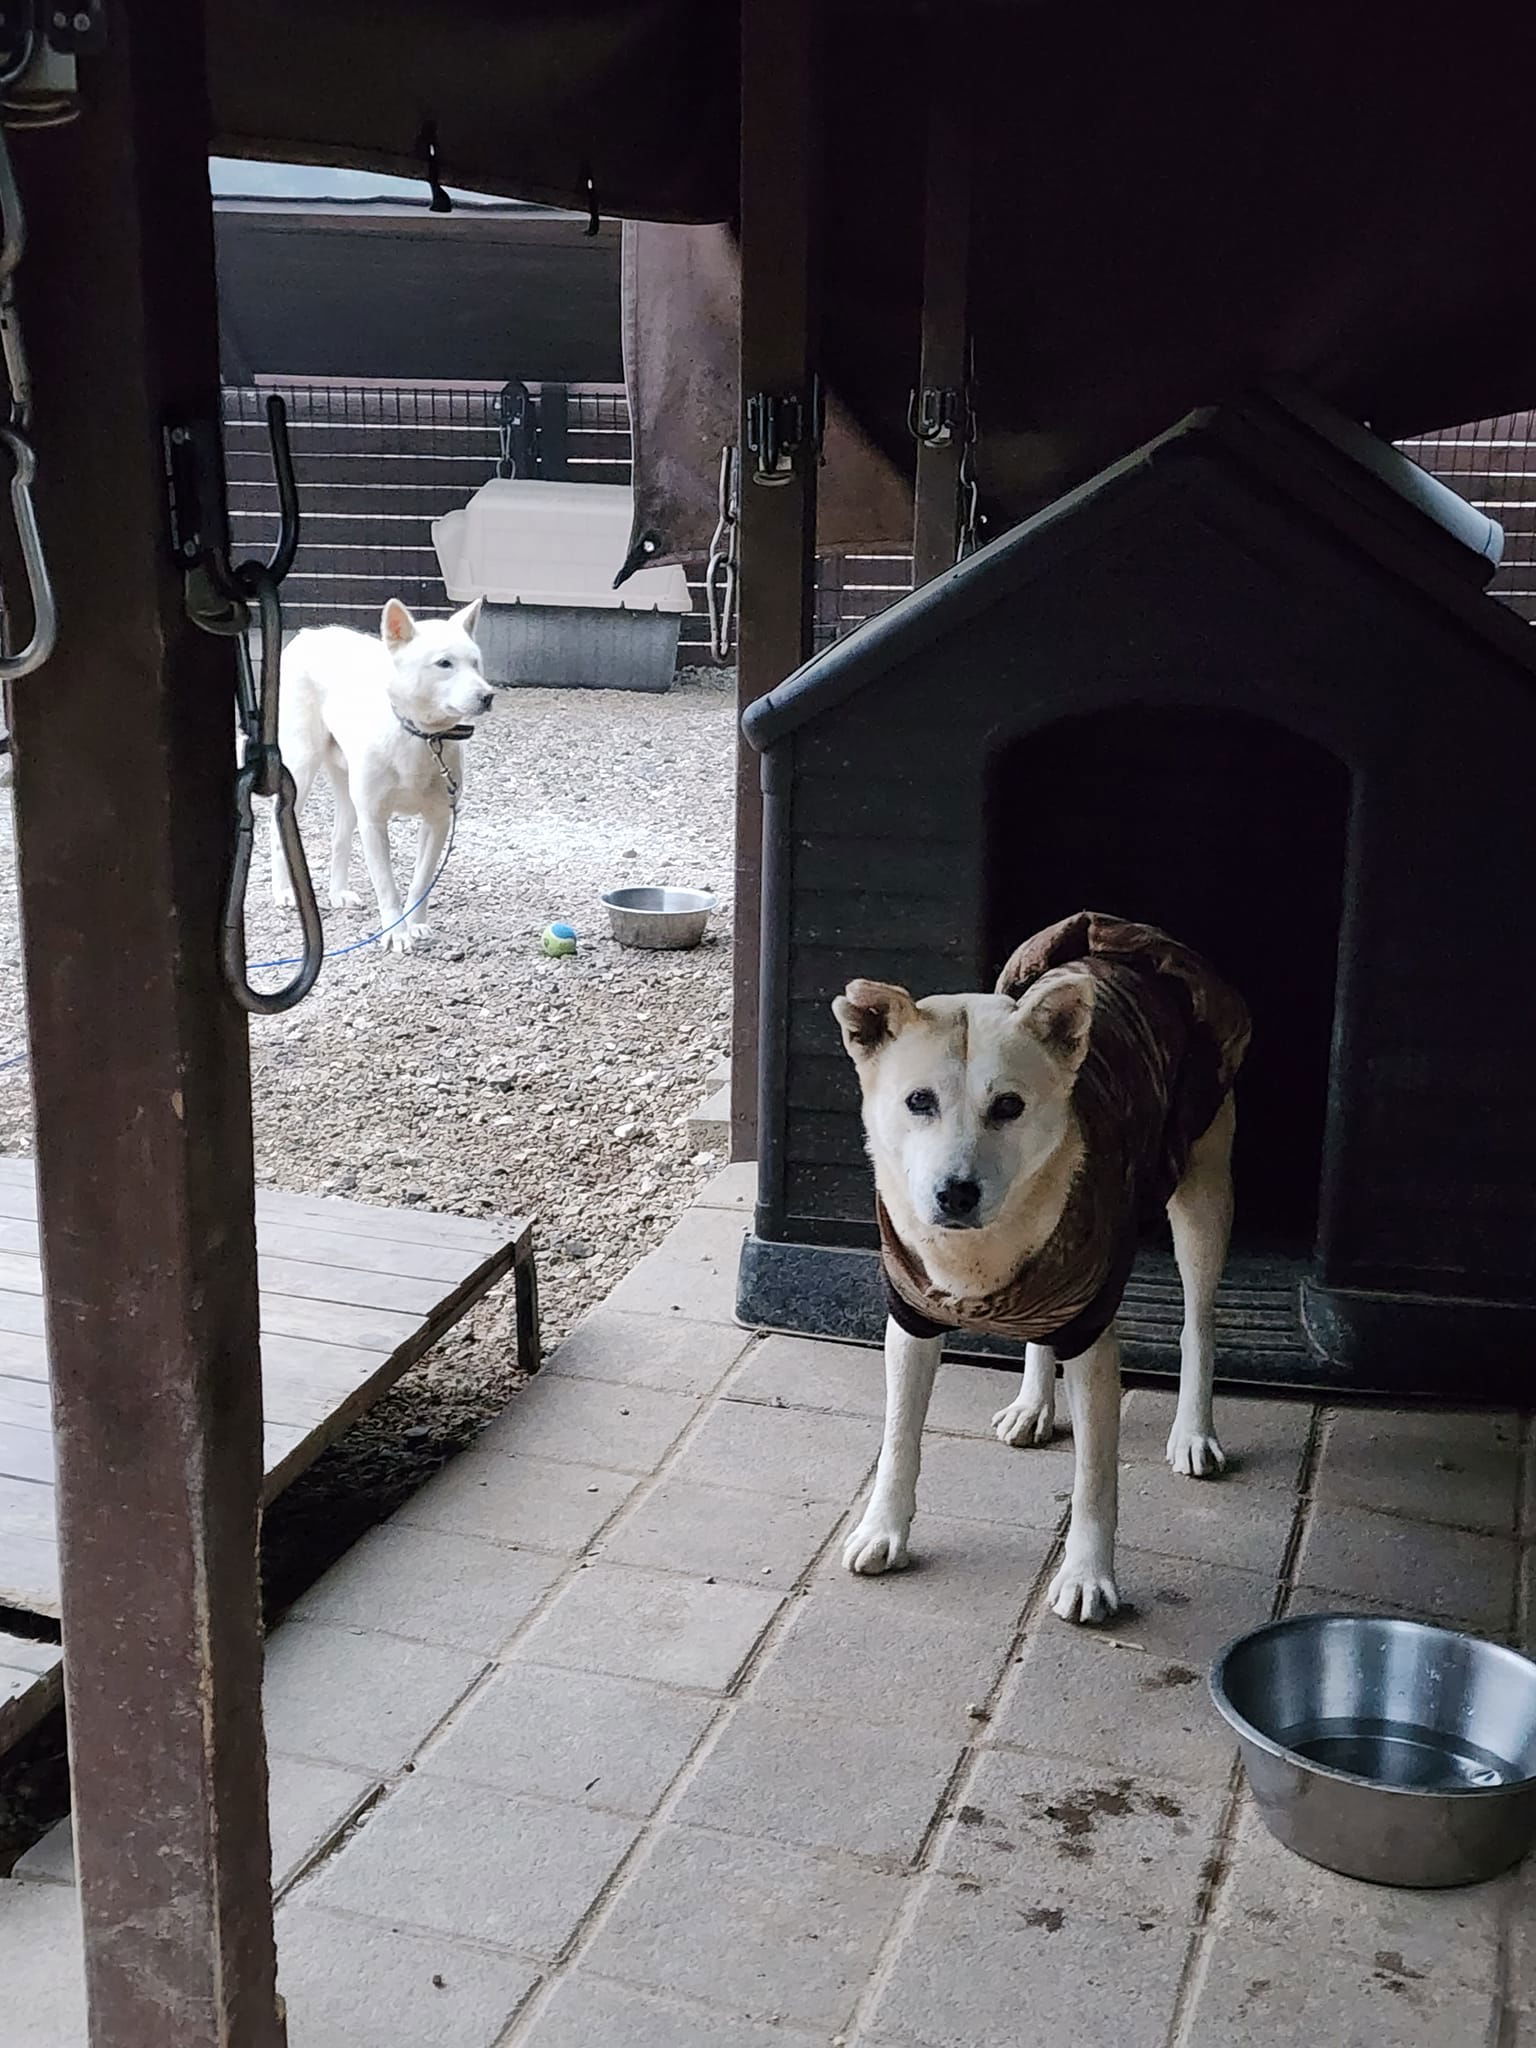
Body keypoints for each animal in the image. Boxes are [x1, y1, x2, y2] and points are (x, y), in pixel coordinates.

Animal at [274, 589, 493, 946]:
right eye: (444, 663)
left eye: (475, 662)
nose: (488, 696)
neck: (421, 736)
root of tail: (309, 634)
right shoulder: (374, 822)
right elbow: (387, 886)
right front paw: (396, 933)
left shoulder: (438, 821)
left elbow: (420, 882)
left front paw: (415, 924)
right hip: (301, 767)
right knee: (275, 826)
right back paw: (281, 891)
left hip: (347, 788)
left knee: (340, 835)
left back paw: (338, 892)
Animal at [831, 913, 1253, 1630]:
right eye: (918, 1101)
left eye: (1008, 1106)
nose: (956, 1193)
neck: (979, 1253)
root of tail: (1128, 937)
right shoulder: (911, 1320)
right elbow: (898, 1439)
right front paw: (882, 1529)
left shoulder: (1093, 1332)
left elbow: (1095, 1479)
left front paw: (1086, 1576)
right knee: (1040, 1332)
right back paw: (1033, 1403)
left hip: (1202, 1189)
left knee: (1199, 1319)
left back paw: (1194, 1431)